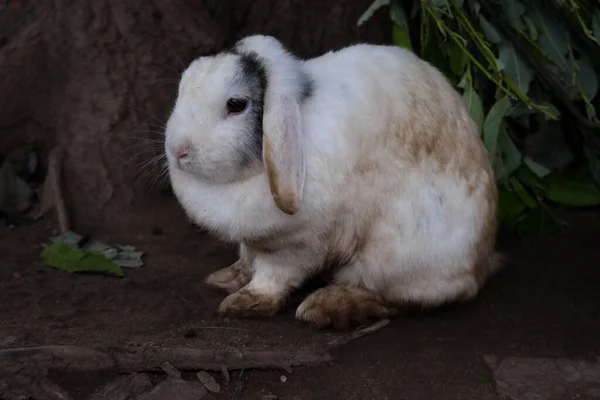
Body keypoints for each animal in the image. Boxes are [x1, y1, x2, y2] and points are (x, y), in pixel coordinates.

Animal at [164, 34, 502, 330]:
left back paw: (328, 307)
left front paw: (245, 302)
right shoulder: (253, 241)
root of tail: (480, 264)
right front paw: (227, 278)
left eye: (236, 104)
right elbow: (247, 256)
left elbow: (273, 276)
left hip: (395, 254)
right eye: (182, 87)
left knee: (392, 296)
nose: (178, 149)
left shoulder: (296, 245)